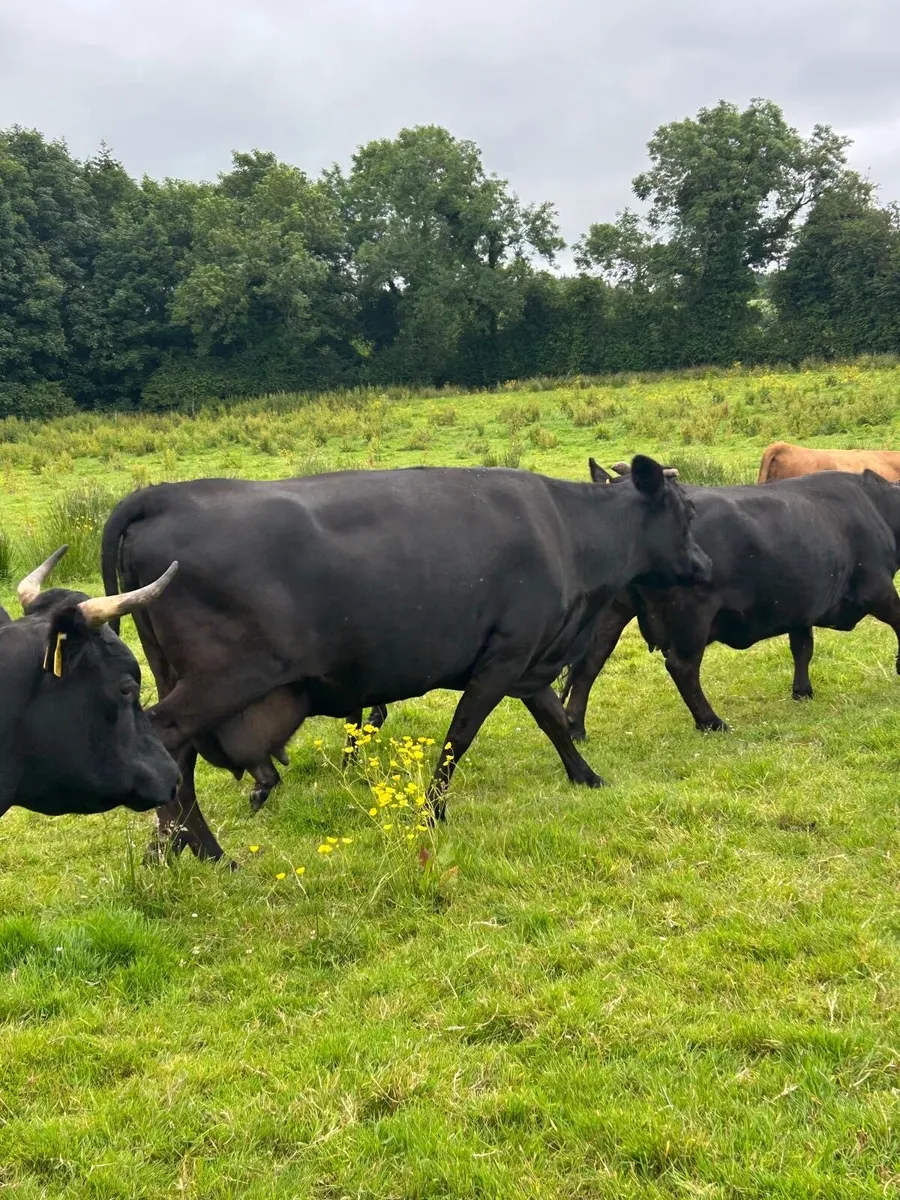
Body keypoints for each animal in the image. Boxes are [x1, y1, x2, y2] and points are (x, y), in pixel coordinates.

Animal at [100, 457, 710, 863]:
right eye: (687, 512)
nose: (705, 565)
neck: (568, 532)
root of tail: (164, 495)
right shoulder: (504, 657)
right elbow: (459, 737)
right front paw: (432, 813)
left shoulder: (528, 659)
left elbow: (554, 720)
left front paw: (586, 776)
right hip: (223, 678)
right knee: (169, 741)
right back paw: (202, 850)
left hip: (176, 672)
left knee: (177, 757)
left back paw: (178, 847)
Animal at [563, 463, 900, 738]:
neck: (877, 507)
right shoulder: (878, 588)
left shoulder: (801, 603)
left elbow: (802, 647)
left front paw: (802, 691)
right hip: (692, 614)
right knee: (681, 667)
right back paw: (711, 722)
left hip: (615, 609)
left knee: (590, 662)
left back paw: (575, 726)